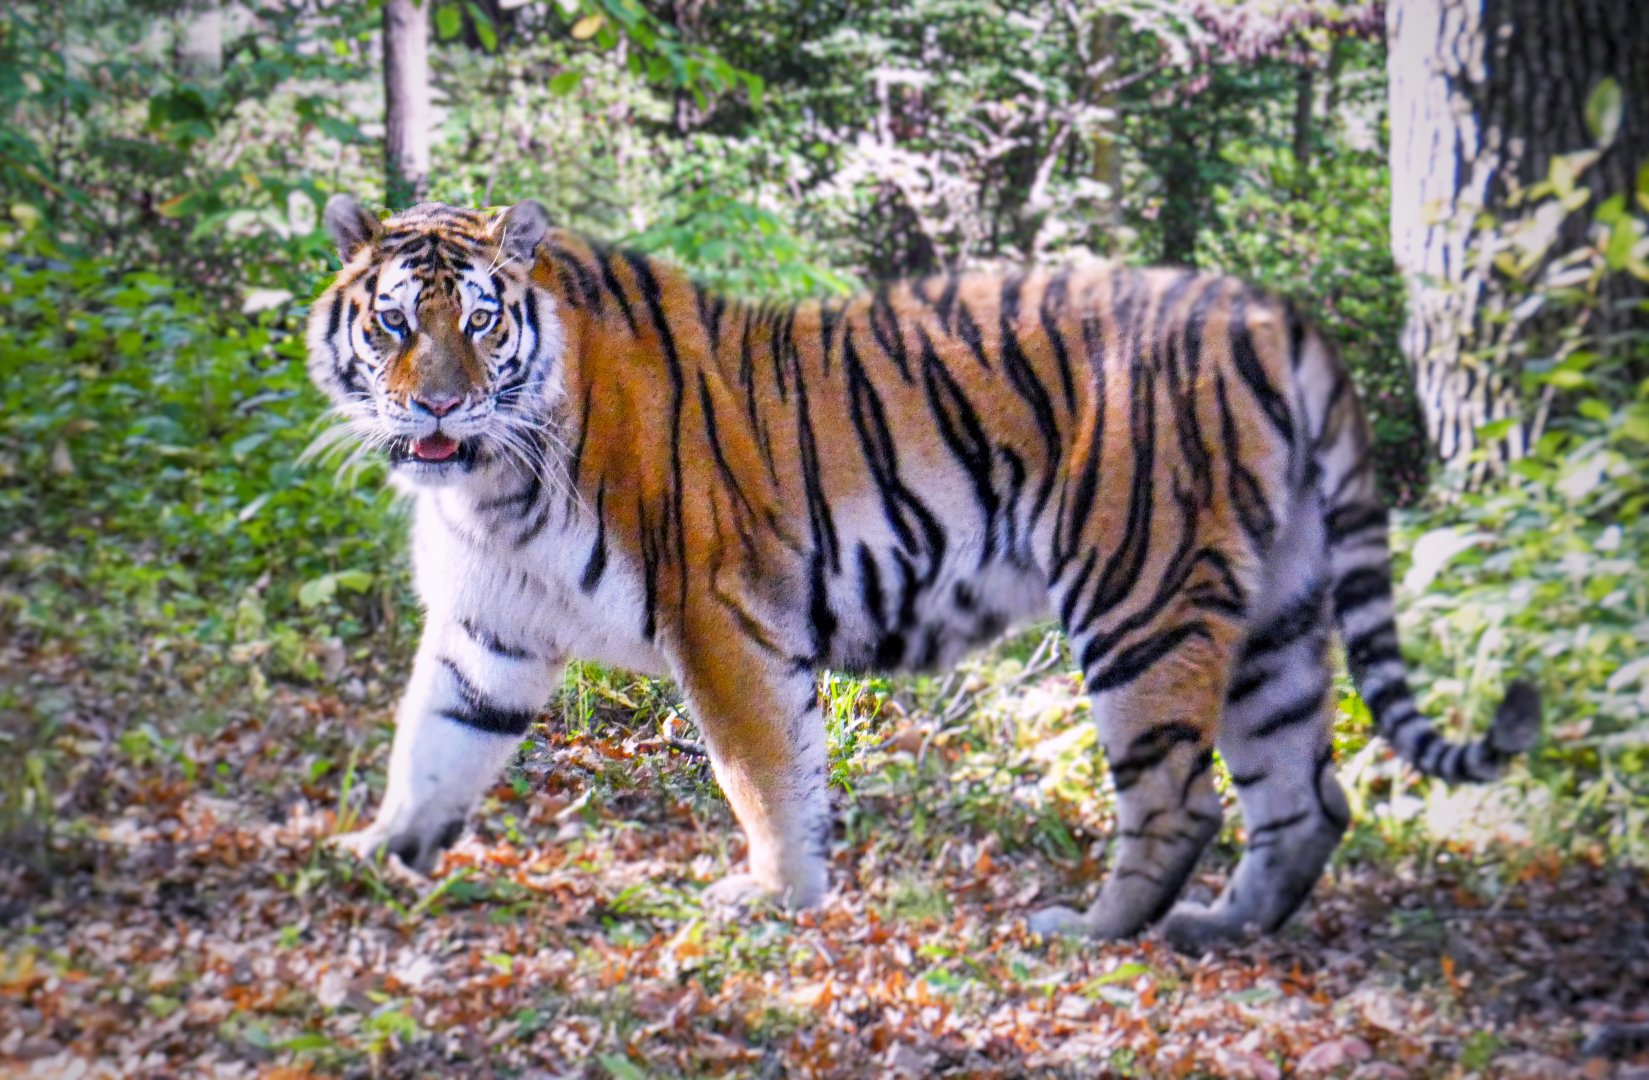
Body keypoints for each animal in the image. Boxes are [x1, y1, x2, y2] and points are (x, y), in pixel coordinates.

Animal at [306, 195, 1540, 953]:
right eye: (392, 324)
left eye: (478, 321)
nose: (437, 405)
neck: (489, 484)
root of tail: (1269, 310)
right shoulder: (490, 629)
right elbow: (436, 744)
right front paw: (373, 856)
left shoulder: (719, 617)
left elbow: (760, 771)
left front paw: (775, 897)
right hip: (1279, 614)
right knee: (1306, 795)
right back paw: (1222, 929)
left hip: (1138, 596)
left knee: (1182, 796)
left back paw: (1098, 933)